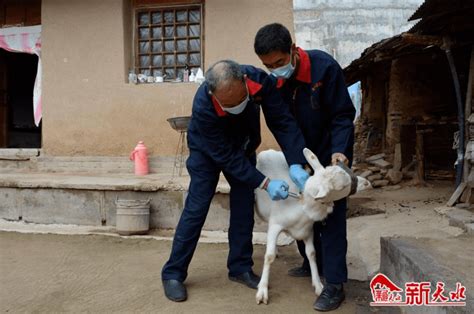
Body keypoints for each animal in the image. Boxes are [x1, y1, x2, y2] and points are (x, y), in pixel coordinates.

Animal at [256, 148, 370, 306]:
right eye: (342, 186)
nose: (367, 183)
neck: (302, 206)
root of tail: (267, 151)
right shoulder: (275, 225)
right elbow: (269, 256)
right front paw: (262, 291)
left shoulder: (308, 231)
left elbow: (311, 253)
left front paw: (318, 285)